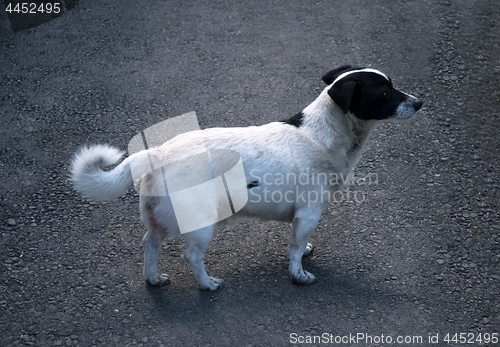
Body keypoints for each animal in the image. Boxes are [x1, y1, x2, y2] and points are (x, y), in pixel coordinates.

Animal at [70, 65, 422, 290]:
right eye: (385, 92)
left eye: (392, 85)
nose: (420, 102)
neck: (324, 135)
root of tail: (156, 155)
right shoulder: (309, 213)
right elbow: (295, 251)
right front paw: (299, 275)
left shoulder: (302, 218)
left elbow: (300, 244)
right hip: (202, 227)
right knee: (192, 256)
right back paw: (207, 284)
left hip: (158, 222)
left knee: (150, 246)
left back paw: (154, 279)